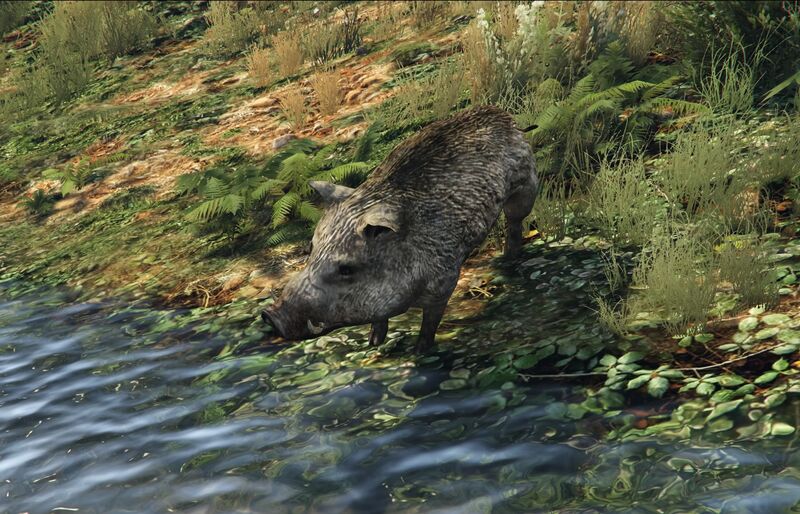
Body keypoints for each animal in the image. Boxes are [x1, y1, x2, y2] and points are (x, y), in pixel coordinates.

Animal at [261, 106, 538, 352]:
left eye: (346, 269)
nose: (270, 315)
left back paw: (507, 261)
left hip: (526, 186)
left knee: (515, 223)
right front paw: (373, 345)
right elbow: (379, 318)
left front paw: (420, 352)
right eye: (311, 249)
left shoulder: (445, 280)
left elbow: (430, 322)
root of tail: (505, 115)